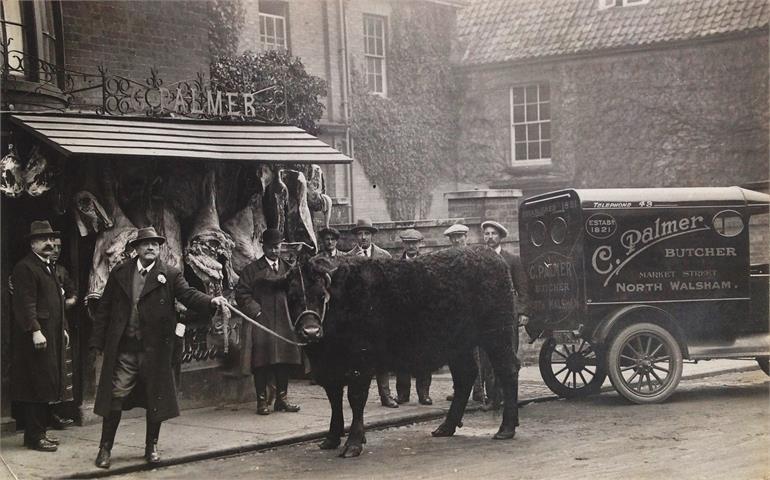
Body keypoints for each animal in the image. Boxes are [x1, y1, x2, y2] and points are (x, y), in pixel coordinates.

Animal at [288, 248, 520, 458]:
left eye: (321, 295)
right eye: (293, 297)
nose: (311, 332)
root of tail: (492, 256)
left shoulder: (361, 365)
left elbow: (356, 399)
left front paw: (353, 444)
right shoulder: (329, 370)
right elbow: (334, 401)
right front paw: (330, 439)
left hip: (497, 336)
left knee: (508, 370)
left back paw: (506, 429)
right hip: (458, 346)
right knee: (465, 376)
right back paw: (445, 428)